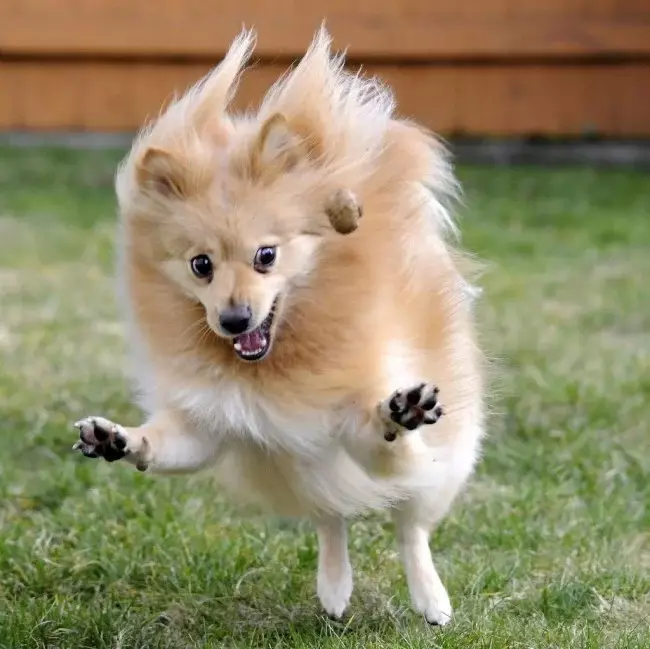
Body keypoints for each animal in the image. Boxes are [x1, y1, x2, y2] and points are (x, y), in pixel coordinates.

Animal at [73, 27, 484, 624]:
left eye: (266, 256)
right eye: (201, 265)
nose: (234, 318)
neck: (279, 359)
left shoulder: (357, 425)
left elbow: (384, 438)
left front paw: (399, 412)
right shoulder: (209, 422)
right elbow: (166, 440)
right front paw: (117, 438)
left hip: (438, 468)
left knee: (410, 525)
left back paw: (431, 600)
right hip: (306, 474)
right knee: (330, 516)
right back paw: (334, 588)